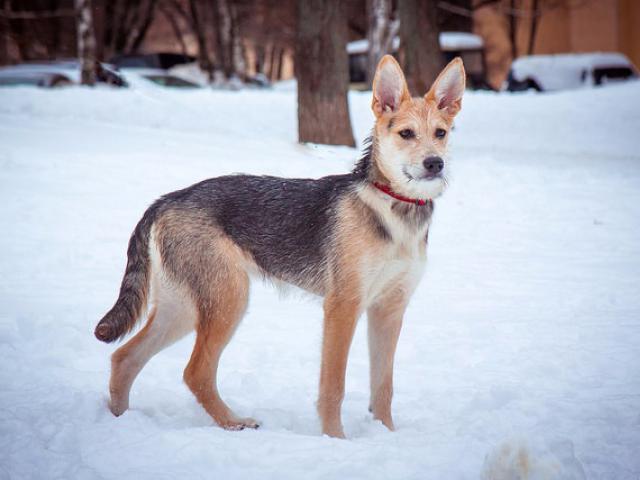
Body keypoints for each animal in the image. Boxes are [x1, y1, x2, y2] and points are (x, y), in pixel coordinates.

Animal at [95, 55, 464, 438]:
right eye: (406, 133)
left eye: (441, 133)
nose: (435, 163)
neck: (394, 208)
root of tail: (166, 200)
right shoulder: (343, 307)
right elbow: (333, 385)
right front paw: (336, 439)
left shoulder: (389, 310)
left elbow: (383, 386)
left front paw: (386, 435)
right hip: (228, 299)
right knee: (195, 372)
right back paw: (233, 422)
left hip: (183, 306)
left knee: (124, 358)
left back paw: (121, 421)